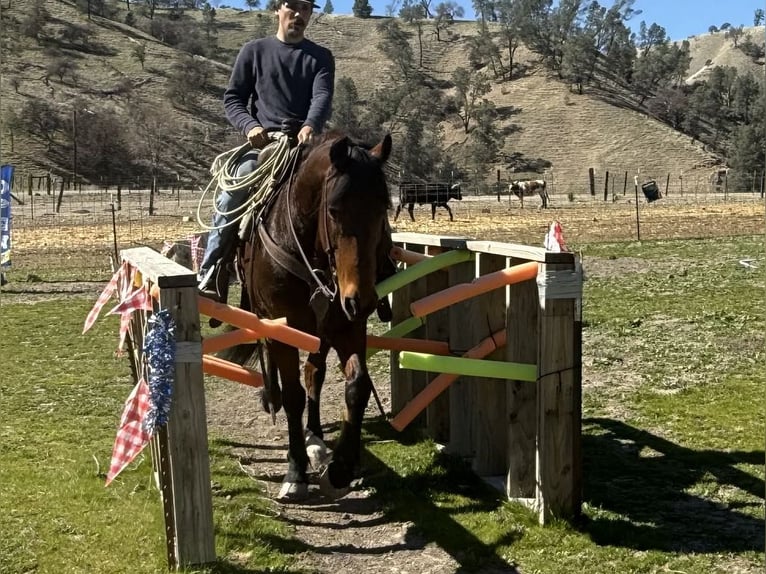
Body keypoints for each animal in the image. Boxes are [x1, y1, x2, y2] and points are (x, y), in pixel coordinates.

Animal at [234, 133, 396, 502]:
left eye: (383, 207)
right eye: (334, 210)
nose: (361, 299)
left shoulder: (346, 326)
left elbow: (357, 386)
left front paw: (341, 466)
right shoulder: (283, 329)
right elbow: (294, 396)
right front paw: (295, 473)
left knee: (314, 374)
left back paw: (316, 437)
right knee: (278, 369)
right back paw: (273, 400)